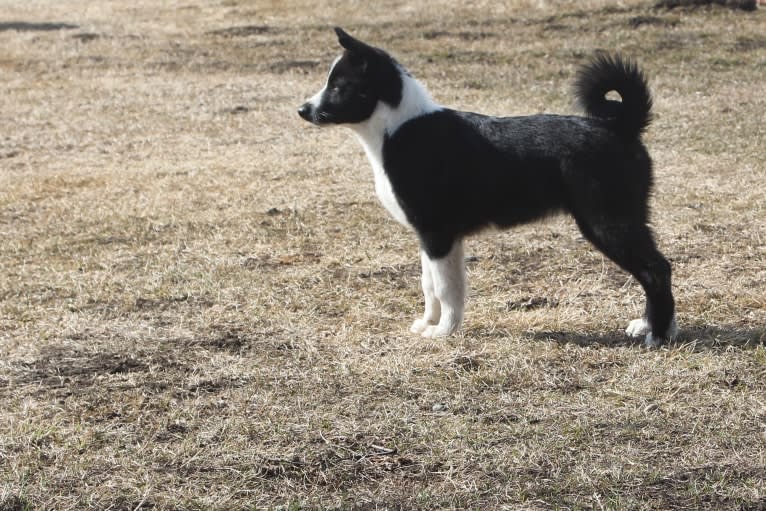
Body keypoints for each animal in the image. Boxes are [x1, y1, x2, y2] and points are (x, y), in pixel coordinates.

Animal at [300, 29, 680, 348]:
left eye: (339, 86)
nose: (302, 109)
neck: (397, 128)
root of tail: (621, 126)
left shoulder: (437, 233)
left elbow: (444, 287)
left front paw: (443, 332)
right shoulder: (433, 238)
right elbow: (433, 285)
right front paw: (432, 323)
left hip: (607, 222)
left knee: (655, 269)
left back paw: (658, 334)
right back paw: (650, 325)